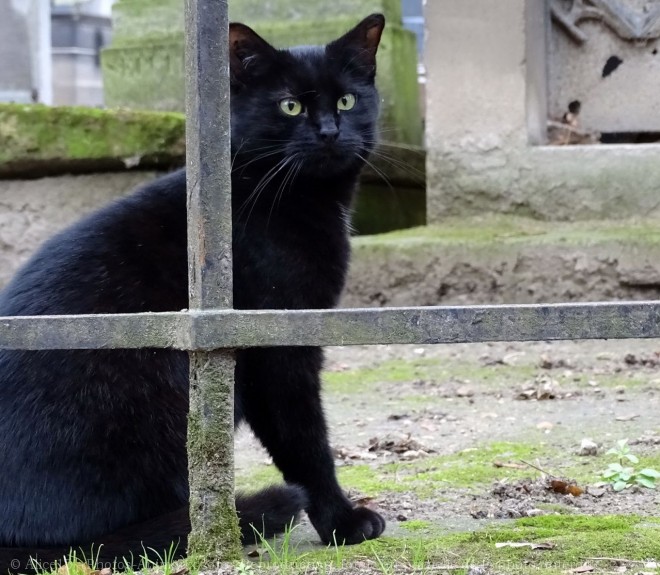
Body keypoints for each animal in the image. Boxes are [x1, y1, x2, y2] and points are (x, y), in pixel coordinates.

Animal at [0, 13, 386, 575]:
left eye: (348, 100)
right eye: (289, 105)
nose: (330, 132)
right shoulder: (280, 345)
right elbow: (305, 441)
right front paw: (343, 523)